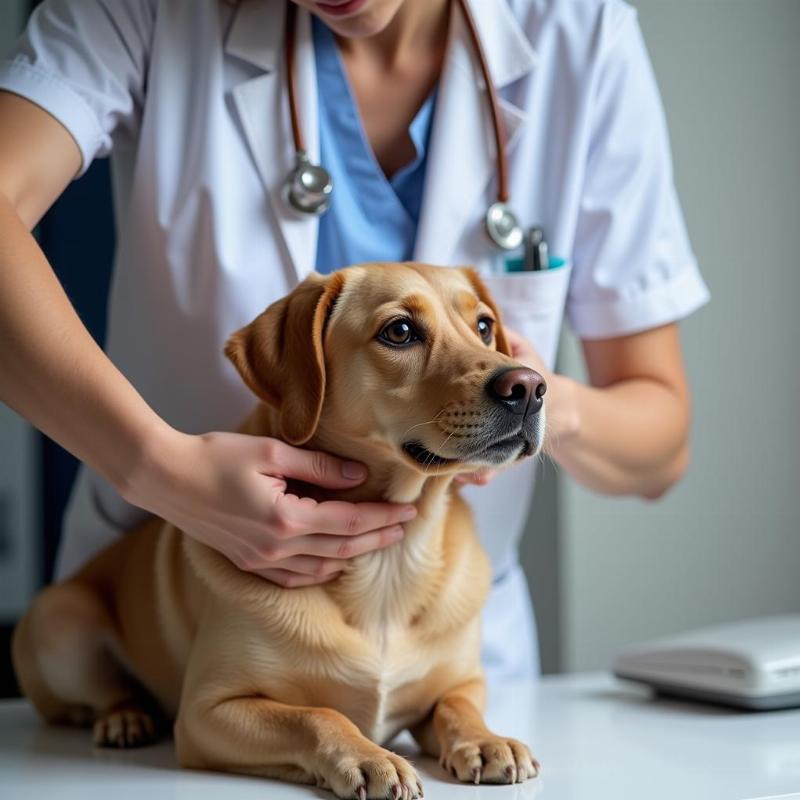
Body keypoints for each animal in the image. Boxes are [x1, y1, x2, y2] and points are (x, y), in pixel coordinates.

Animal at [12, 264, 548, 800]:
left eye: (483, 326)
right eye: (399, 331)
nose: (528, 386)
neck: (387, 568)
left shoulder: (463, 681)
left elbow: (456, 706)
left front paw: (485, 740)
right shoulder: (209, 711)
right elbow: (317, 715)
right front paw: (371, 757)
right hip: (61, 622)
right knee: (102, 694)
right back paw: (124, 718)